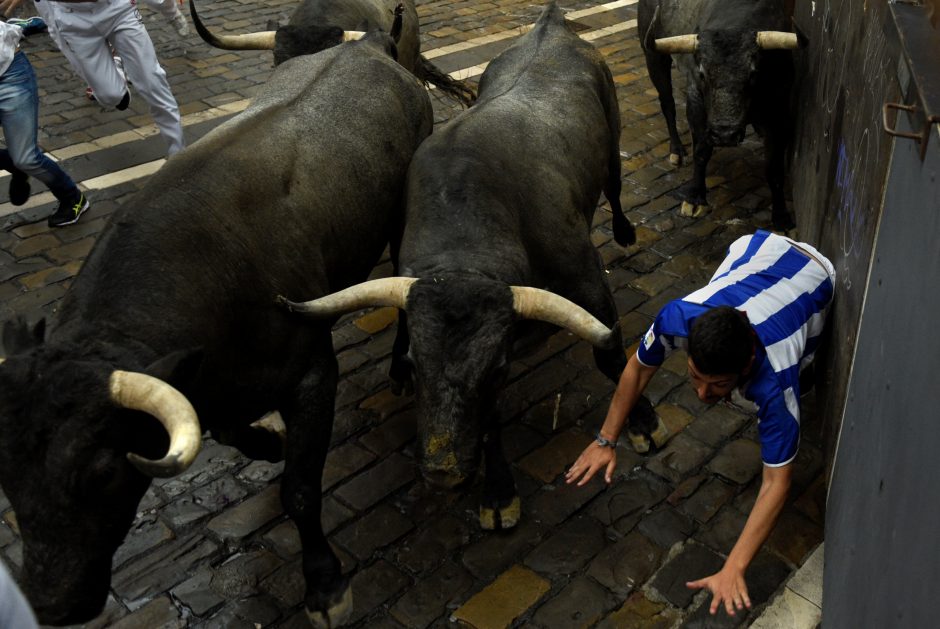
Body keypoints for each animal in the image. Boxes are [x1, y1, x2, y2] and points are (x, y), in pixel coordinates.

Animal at [0, 28, 432, 624]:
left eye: (103, 473)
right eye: (6, 477)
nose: (51, 604)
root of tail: (368, 43)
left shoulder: (313, 373)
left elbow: (300, 490)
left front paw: (325, 585)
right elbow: (233, 434)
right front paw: (269, 443)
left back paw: (400, 368)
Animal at [282, 1, 664, 528]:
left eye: (500, 367)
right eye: (413, 363)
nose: (442, 473)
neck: (466, 235)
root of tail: (551, 23)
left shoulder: (585, 280)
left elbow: (611, 354)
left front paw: (643, 422)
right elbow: (488, 418)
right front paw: (499, 492)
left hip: (612, 140)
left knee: (615, 186)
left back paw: (626, 231)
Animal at [640, 0, 808, 233]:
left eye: (753, 73)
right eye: (702, 73)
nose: (725, 134)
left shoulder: (780, 114)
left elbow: (774, 169)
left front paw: (781, 218)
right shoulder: (695, 101)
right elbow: (701, 151)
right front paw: (695, 198)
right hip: (654, 57)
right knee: (668, 104)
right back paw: (677, 150)